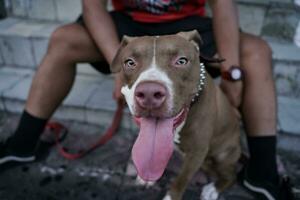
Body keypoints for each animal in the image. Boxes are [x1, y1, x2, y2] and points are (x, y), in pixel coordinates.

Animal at [110, 30, 241, 200]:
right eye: (130, 63)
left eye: (181, 61)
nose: (149, 93)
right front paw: (147, 179)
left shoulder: (197, 151)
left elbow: (182, 179)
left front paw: (171, 196)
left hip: (223, 154)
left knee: (231, 175)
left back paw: (213, 189)